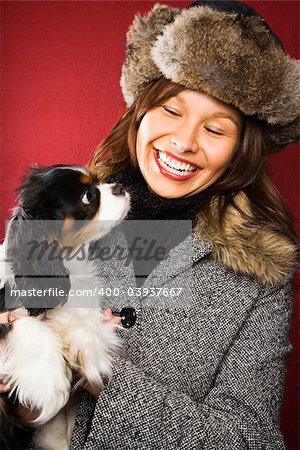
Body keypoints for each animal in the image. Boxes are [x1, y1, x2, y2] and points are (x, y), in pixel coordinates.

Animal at [0, 163, 131, 448]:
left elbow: (85, 327)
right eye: (88, 197)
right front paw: (48, 385)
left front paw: (97, 348)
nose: (119, 186)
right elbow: (30, 327)